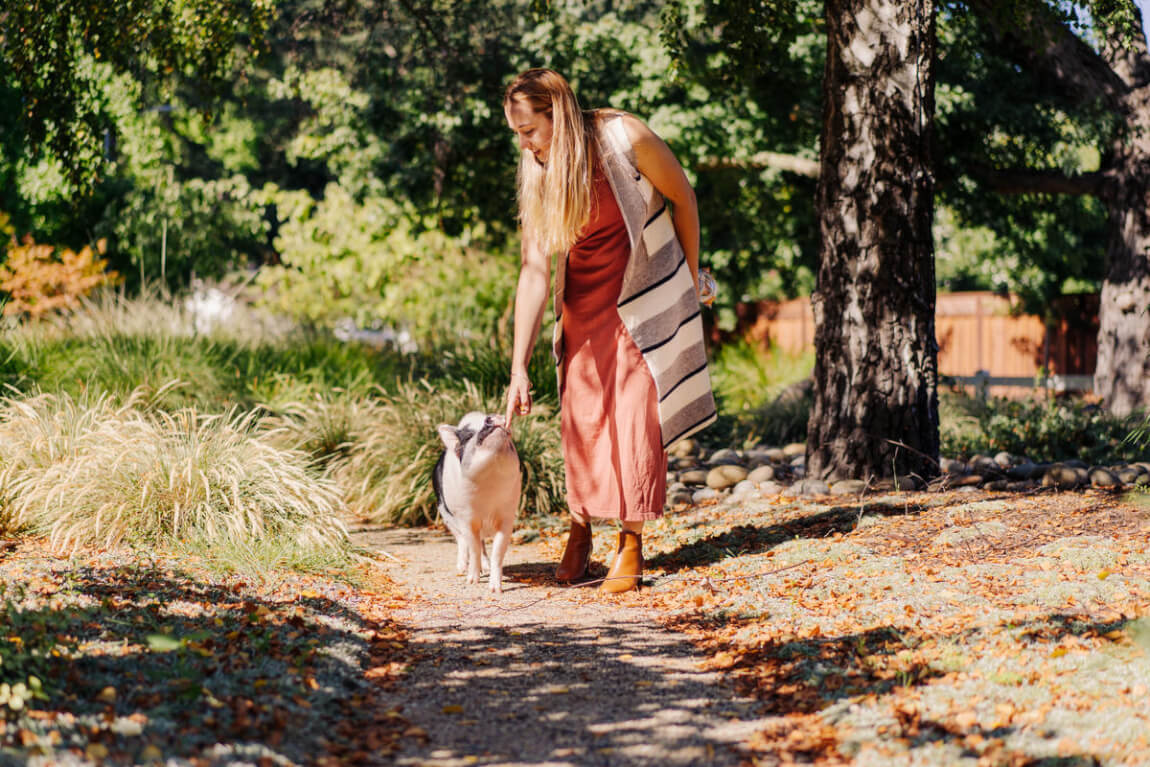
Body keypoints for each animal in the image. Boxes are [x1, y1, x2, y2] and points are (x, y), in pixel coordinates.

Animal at [432, 413, 522, 593]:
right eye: (468, 435)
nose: (493, 416)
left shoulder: (507, 516)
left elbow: (497, 551)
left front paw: (496, 590)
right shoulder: (466, 517)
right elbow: (473, 548)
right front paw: (472, 582)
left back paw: (485, 568)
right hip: (445, 514)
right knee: (462, 539)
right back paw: (461, 568)